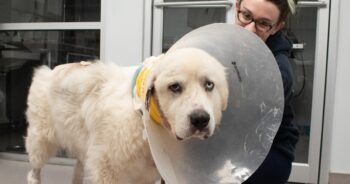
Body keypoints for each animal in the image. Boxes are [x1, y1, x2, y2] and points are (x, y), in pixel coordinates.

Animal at [26, 48, 230, 183]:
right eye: (174, 87)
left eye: (209, 84)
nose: (200, 119)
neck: (140, 119)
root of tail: (49, 71)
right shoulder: (107, 169)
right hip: (41, 142)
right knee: (34, 172)